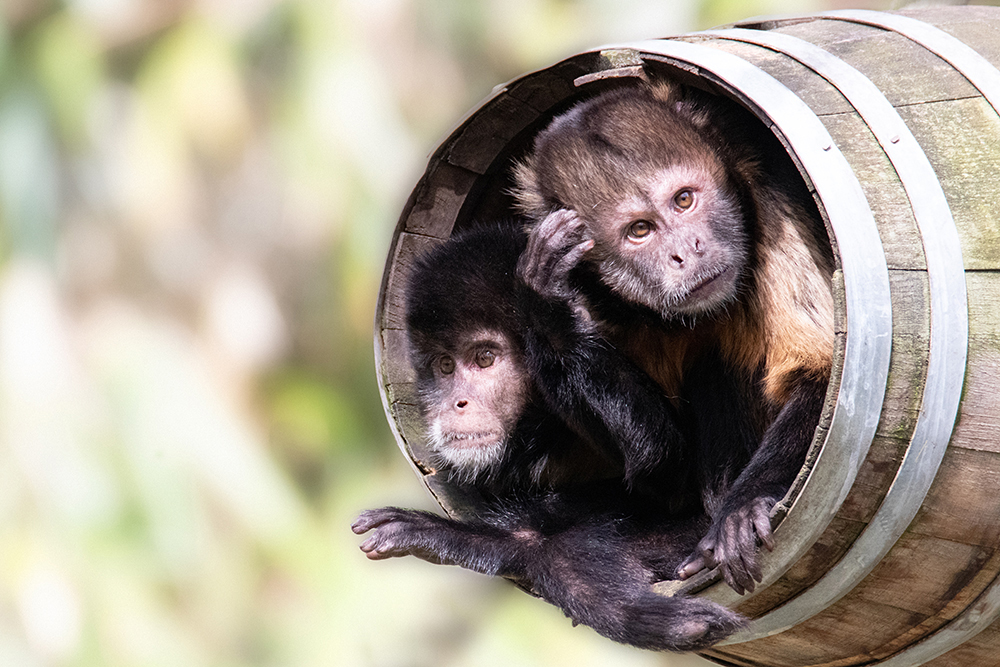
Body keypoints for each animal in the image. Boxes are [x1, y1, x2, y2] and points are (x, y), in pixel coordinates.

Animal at [356, 224, 748, 652]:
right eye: (445, 366)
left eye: (484, 358)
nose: (457, 402)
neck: (545, 427)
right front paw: (465, 536)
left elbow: (668, 471)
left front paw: (548, 309)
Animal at [516, 78, 836, 596]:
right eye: (640, 230)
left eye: (684, 200)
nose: (687, 250)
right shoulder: (602, 301)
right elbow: (663, 468)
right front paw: (547, 305)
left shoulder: (770, 201)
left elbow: (822, 374)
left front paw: (742, 510)